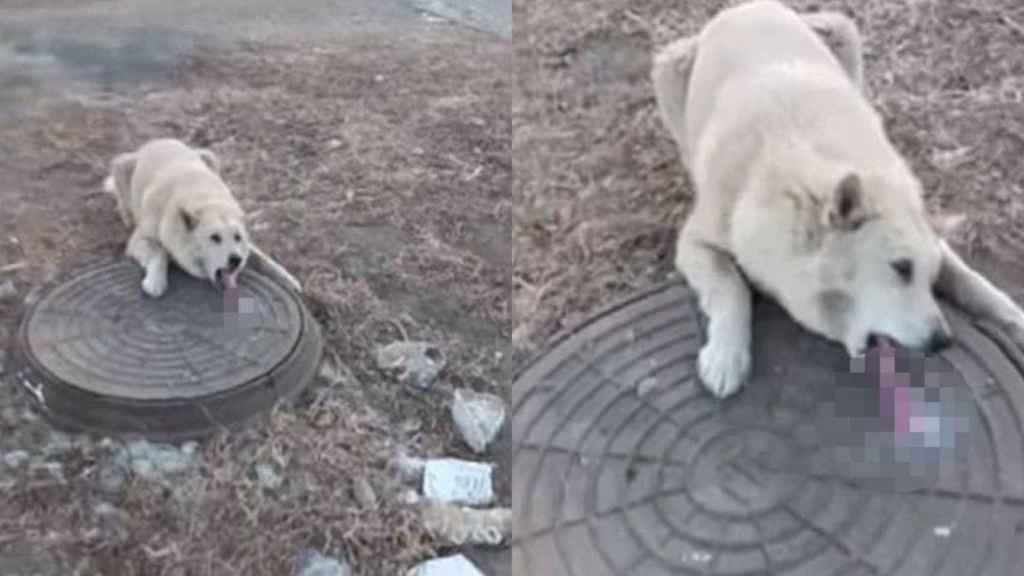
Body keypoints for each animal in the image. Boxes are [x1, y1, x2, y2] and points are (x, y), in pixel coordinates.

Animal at [104, 138, 303, 295]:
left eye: (237, 237)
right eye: (214, 238)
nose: (236, 260)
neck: (205, 201)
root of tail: (157, 141)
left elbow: (262, 257)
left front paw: (288, 278)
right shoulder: (140, 239)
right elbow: (160, 253)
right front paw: (155, 282)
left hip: (209, 155)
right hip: (122, 166)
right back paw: (127, 216)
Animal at [651, 0, 1024, 397]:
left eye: (928, 275)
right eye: (901, 267)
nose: (943, 342)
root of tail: (745, 7)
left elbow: (970, 280)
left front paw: (1014, 318)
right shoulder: (695, 242)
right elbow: (731, 288)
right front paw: (725, 356)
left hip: (843, 32)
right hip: (668, 69)